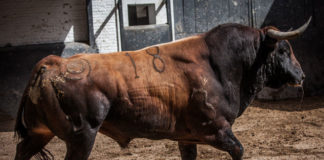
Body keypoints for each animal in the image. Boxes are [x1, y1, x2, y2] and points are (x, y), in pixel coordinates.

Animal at [13, 16, 310, 159]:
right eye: (284, 50)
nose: (302, 75)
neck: (219, 65)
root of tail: (54, 63)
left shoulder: (187, 138)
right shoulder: (216, 130)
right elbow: (239, 150)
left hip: (41, 133)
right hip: (81, 137)